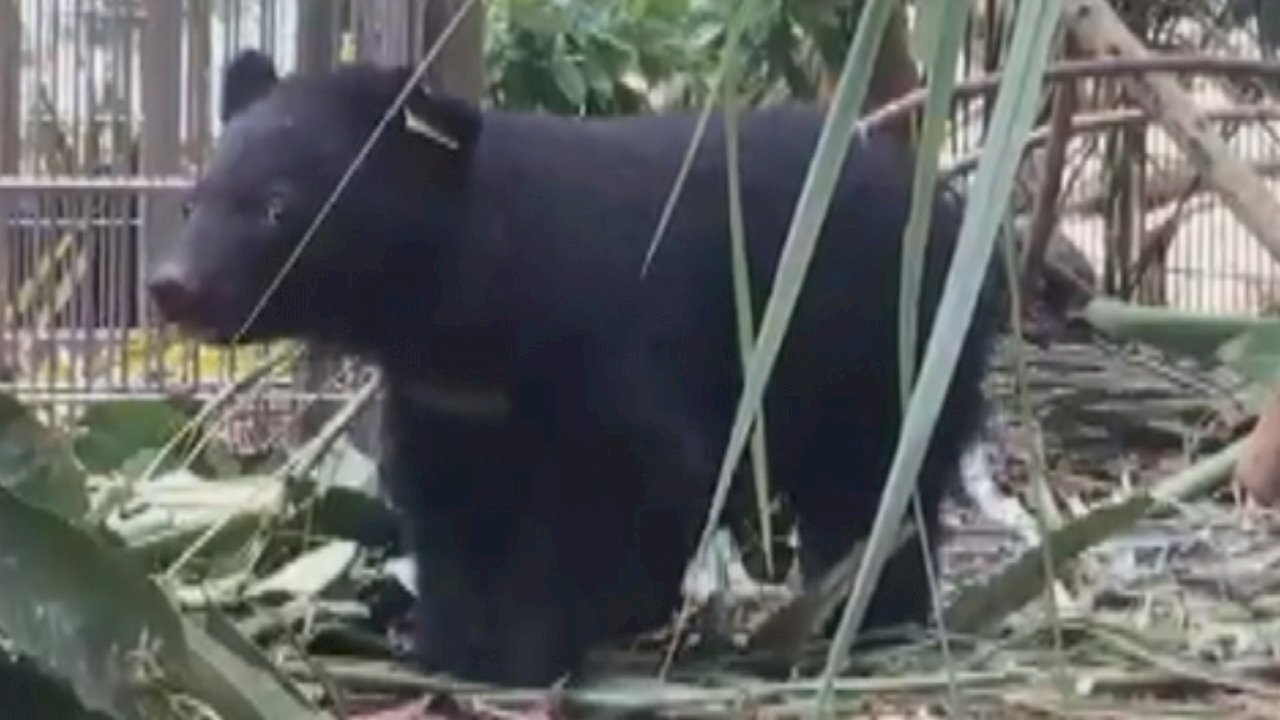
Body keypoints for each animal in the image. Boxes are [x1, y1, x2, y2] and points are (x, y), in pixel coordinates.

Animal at [146, 48, 1007, 687]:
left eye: (277, 207)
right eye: (193, 200)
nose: (171, 287)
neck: (454, 321)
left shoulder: (610, 350)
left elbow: (637, 491)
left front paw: (536, 650)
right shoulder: (447, 402)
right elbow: (451, 509)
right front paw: (448, 646)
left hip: (886, 351)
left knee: (875, 493)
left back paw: (868, 628)